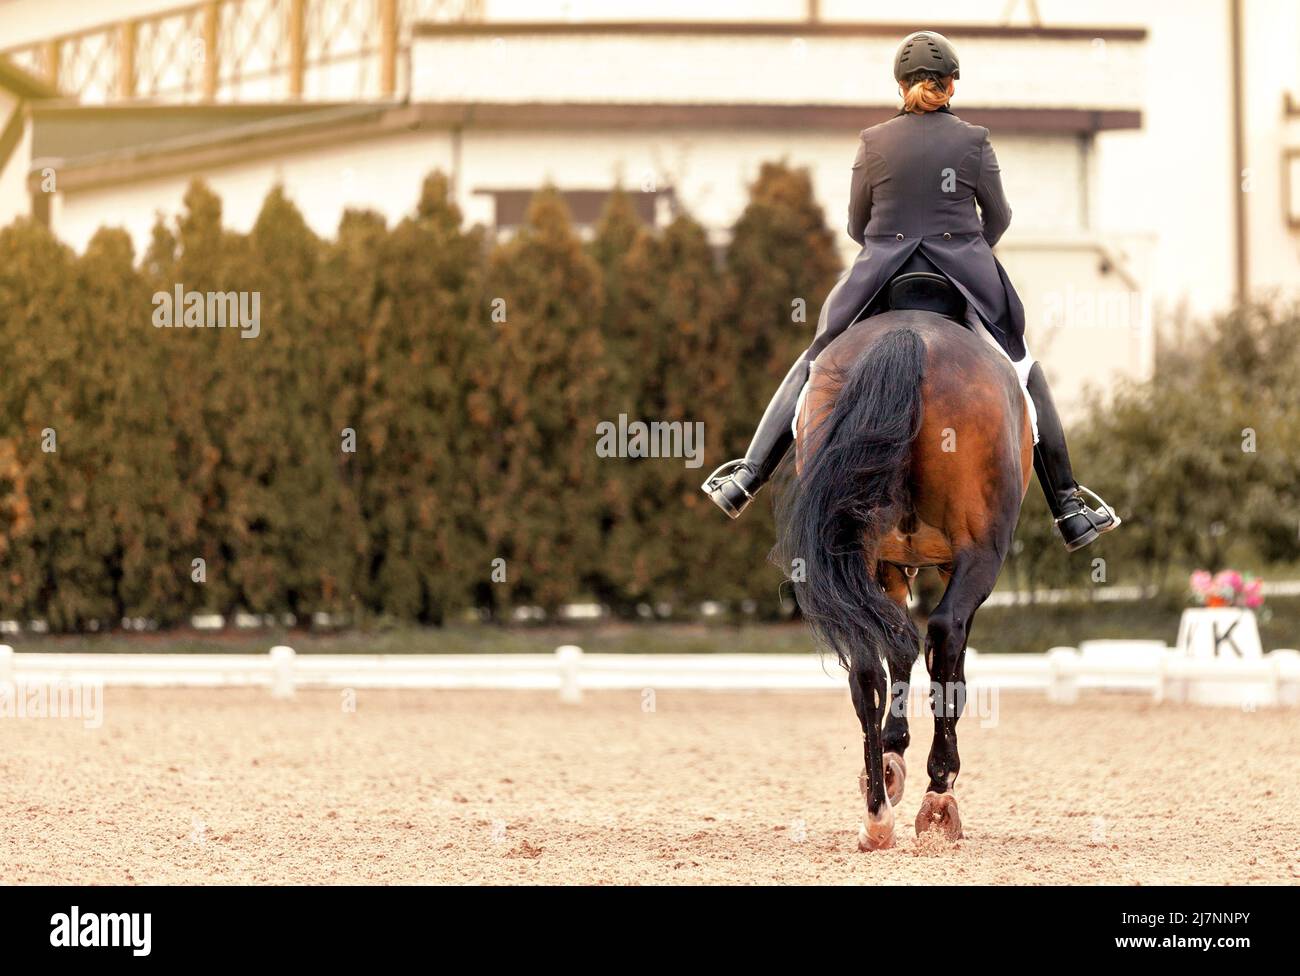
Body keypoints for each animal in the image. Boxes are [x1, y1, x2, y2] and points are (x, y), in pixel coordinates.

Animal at [775, 307, 1032, 851]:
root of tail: (909, 334)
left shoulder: (887, 565)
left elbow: (896, 651)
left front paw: (893, 757)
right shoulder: (961, 563)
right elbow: (947, 661)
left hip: (858, 550)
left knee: (867, 663)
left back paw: (877, 814)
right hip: (981, 552)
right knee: (945, 635)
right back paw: (939, 794)